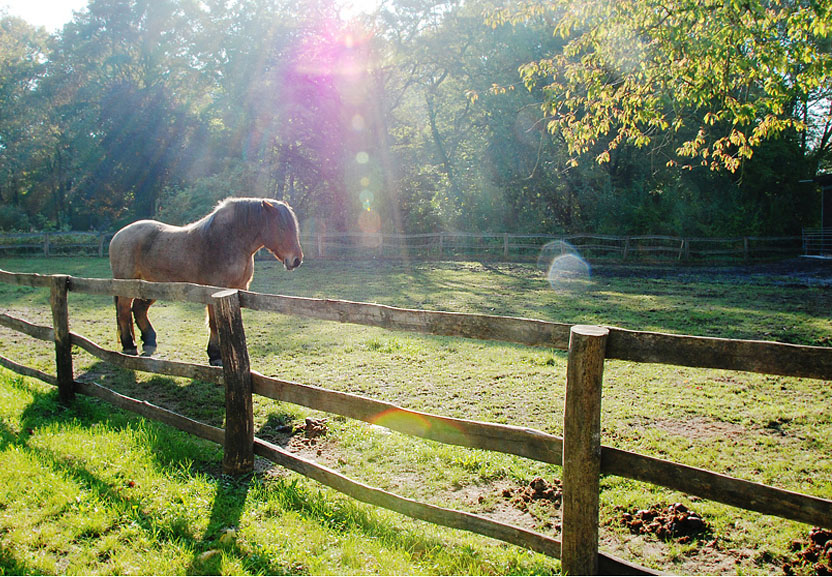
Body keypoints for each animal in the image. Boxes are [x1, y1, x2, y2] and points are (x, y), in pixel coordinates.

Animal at [109, 197, 303, 366]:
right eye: (282, 228)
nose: (296, 260)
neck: (228, 241)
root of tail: (119, 235)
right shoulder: (214, 291)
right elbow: (214, 323)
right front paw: (216, 355)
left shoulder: (237, 290)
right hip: (128, 285)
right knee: (124, 310)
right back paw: (129, 346)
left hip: (151, 287)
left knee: (138, 309)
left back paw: (149, 340)